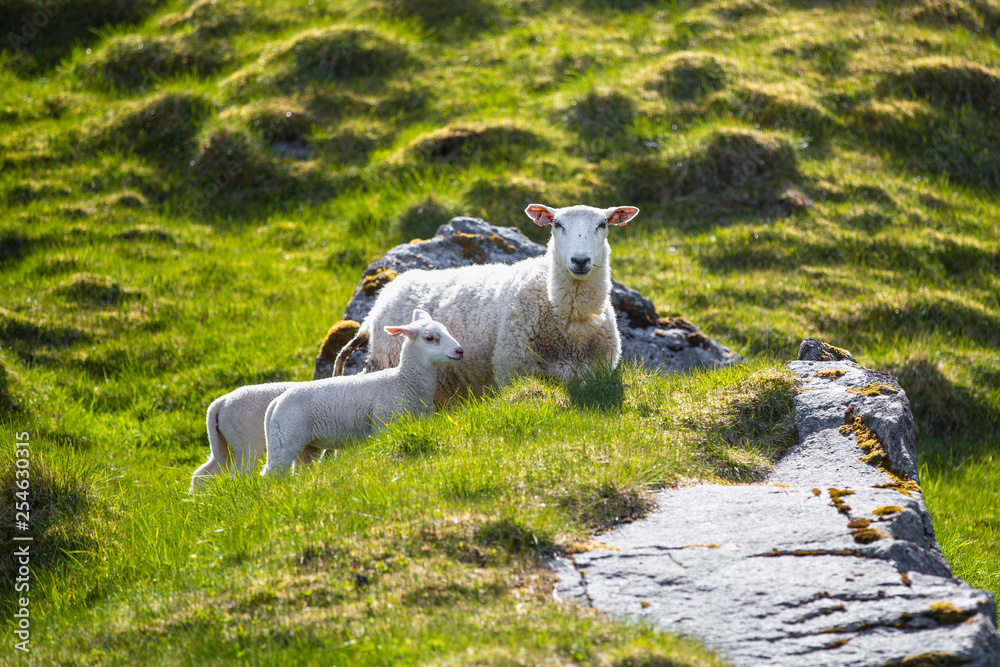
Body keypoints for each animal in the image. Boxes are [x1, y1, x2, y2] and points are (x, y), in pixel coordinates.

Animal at [258, 310, 460, 474]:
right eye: (430, 338)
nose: (460, 351)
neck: (404, 381)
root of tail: (276, 402)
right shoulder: (384, 424)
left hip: (309, 446)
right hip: (285, 439)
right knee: (272, 474)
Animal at [332, 202, 636, 408]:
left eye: (603, 225)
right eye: (556, 225)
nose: (580, 260)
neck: (571, 323)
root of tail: (374, 310)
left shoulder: (592, 374)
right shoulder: (514, 368)